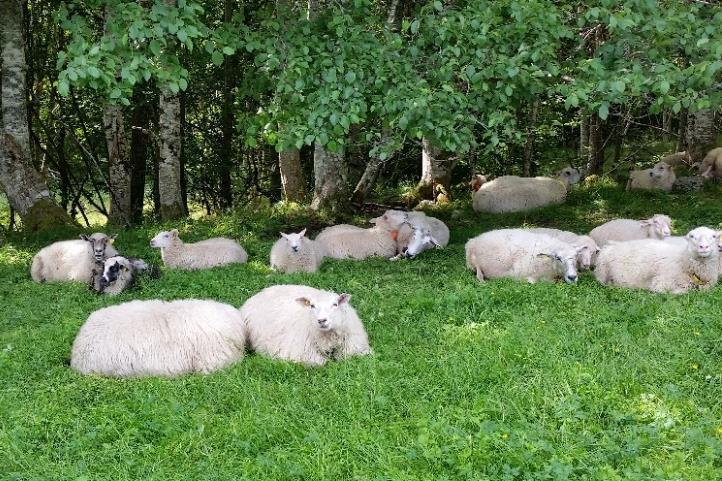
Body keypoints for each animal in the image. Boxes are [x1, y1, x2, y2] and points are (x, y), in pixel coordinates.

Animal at [239, 284, 372, 366]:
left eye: (335, 304)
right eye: (312, 306)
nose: (322, 320)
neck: (328, 338)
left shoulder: (354, 349)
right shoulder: (301, 354)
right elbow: (322, 362)